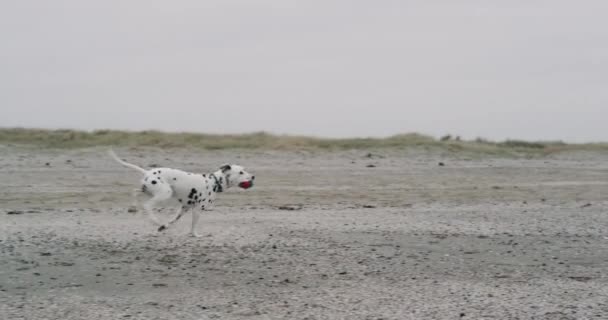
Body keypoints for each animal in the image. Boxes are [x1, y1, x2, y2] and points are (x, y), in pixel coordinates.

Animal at [107, 151, 254, 238]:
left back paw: (133, 207)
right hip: (164, 193)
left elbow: (173, 220)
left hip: (147, 190)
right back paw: (154, 220)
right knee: (147, 205)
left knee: (134, 192)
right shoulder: (197, 210)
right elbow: (193, 226)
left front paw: (164, 226)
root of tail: (147, 172)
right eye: (241, 172)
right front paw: (195, 235)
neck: (213, 182)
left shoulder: (184, 208)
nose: (253, 176)